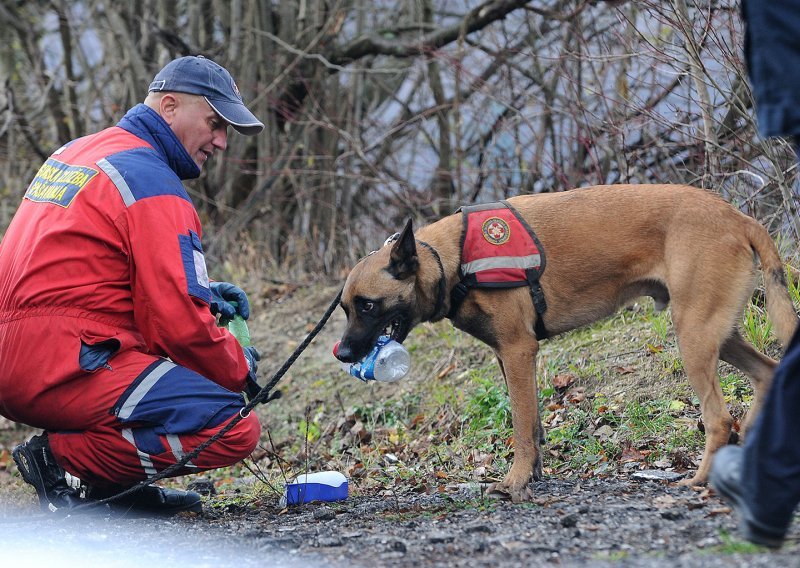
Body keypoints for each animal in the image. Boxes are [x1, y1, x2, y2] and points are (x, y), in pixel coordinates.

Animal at [334, 183, 796, 502]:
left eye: (368, 306)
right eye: (344, 308)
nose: (342, 353)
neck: (452, 258)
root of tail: (737, 217)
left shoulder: (518, 352)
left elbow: (521, 427)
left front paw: (514, 483)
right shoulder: (508, 358)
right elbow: (534, 425)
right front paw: (532, 477)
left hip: (694, 336)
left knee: (719, 418)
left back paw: (701, 480)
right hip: (717, 333)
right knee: (767, 373)